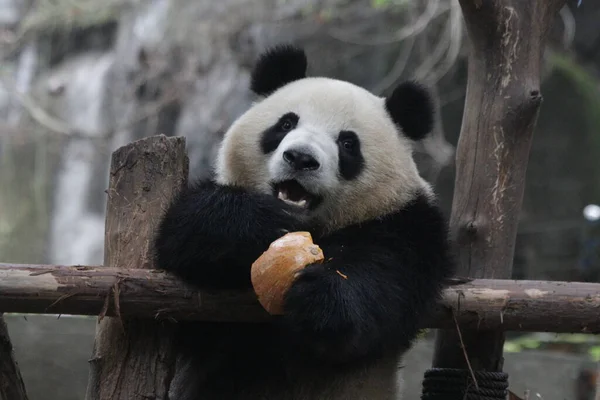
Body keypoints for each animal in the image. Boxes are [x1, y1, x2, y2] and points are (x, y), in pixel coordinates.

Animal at [154, 44, 454, 400]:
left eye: (348, 143)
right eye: (286, 123)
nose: (300, 158)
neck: (313, 226)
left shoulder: (406, 223)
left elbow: (383, 279)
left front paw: (322, 300)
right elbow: (184, 235)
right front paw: (257, 224)